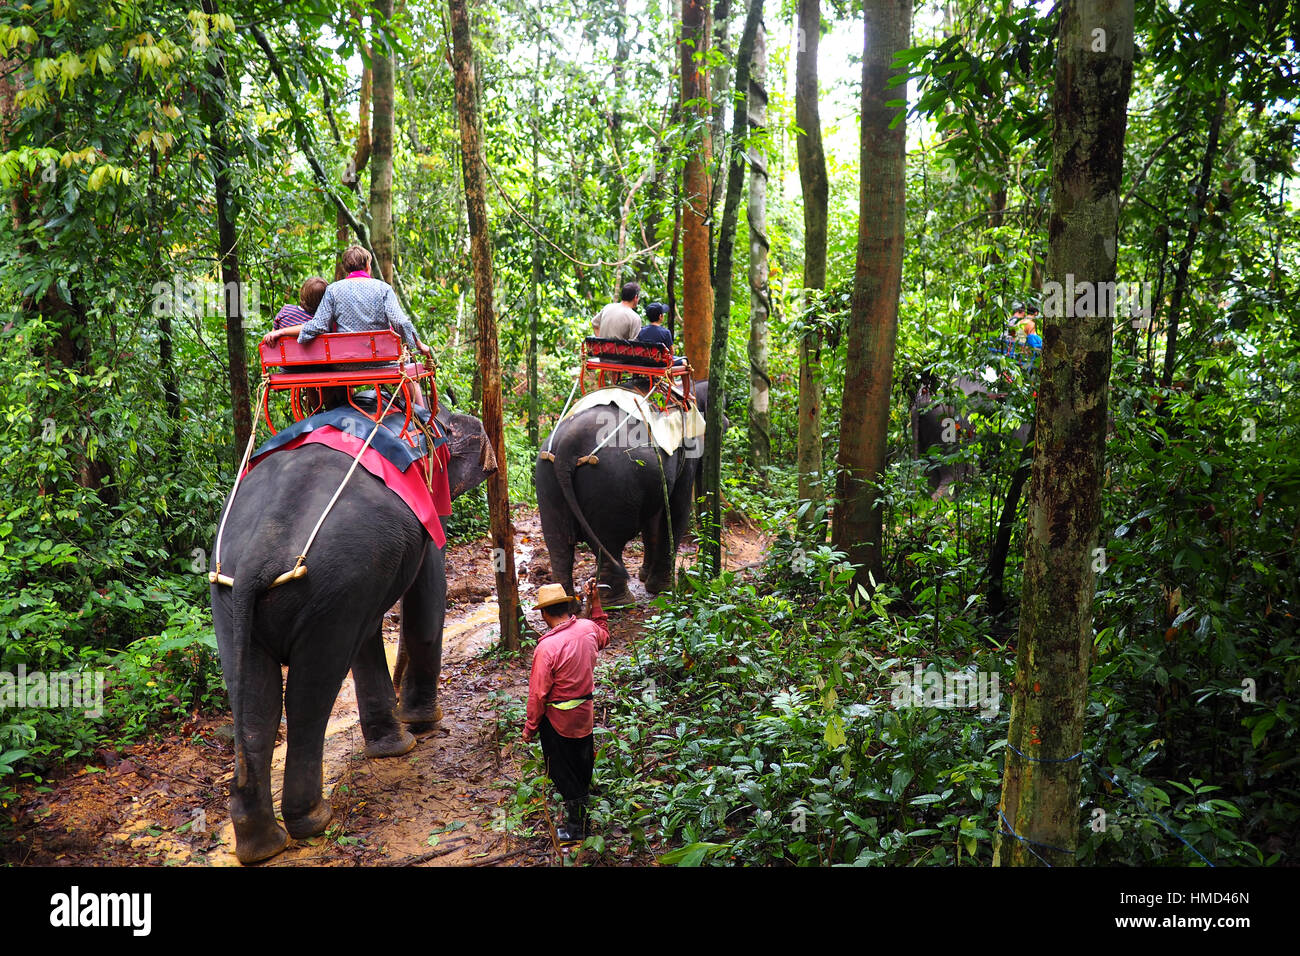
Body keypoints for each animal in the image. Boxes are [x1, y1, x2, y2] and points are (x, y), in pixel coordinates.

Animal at [208, 404, 496, 864]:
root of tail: (256, 558)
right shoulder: (413, 524)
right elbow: (428, 594)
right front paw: (423, 724)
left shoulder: (365, 574)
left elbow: (369, 634)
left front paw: (395, 744)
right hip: (331, 579)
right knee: (310, 692)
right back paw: (313, 820)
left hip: (238, 594)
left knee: (254, 699)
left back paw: (261, 845)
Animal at [535, 381, 709, 605]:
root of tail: (567, 444)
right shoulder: (686, 450)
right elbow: (676, 508)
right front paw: (661, 589)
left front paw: (644, 576)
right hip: (610, 482)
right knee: (610, 541)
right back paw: (620, 601)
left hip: (545, 475)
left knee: (558, 541)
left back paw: (569, 604)